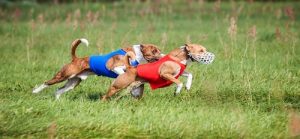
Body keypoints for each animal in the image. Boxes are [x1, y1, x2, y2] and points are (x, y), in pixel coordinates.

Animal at [32, 38, 162, 99]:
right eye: (154, 51)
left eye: (158, 50)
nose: (162, 55)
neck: (137, 54)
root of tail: (76, 59)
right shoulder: (113, 67)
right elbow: (121, 72)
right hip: (64, 75)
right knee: (46, 83)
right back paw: (35, 91)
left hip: (73, 82)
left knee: (58, 90)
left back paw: (58, 101)